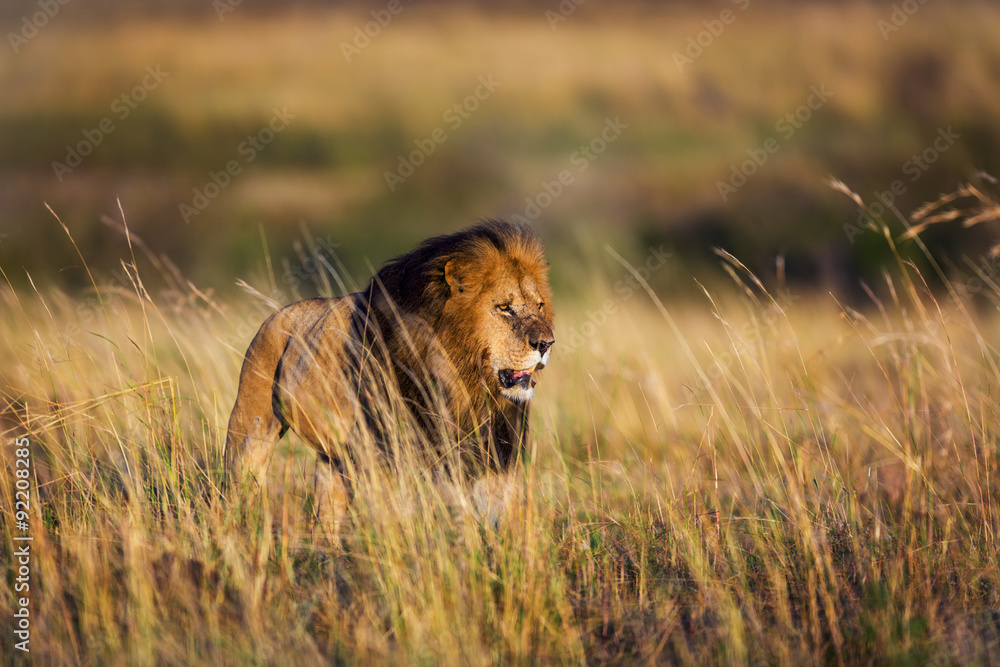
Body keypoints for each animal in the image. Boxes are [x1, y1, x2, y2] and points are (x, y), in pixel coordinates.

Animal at [224, 219, 555, 536]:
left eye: (539, 305)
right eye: (504, 308)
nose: (547, 343)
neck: (466, 384)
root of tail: (278, 313)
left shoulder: (493, 453)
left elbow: (496, 515)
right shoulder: (389, 453)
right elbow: (405, 518)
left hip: (334, 460)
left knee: (325, 515)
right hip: (250, 428)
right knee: (239, 485)